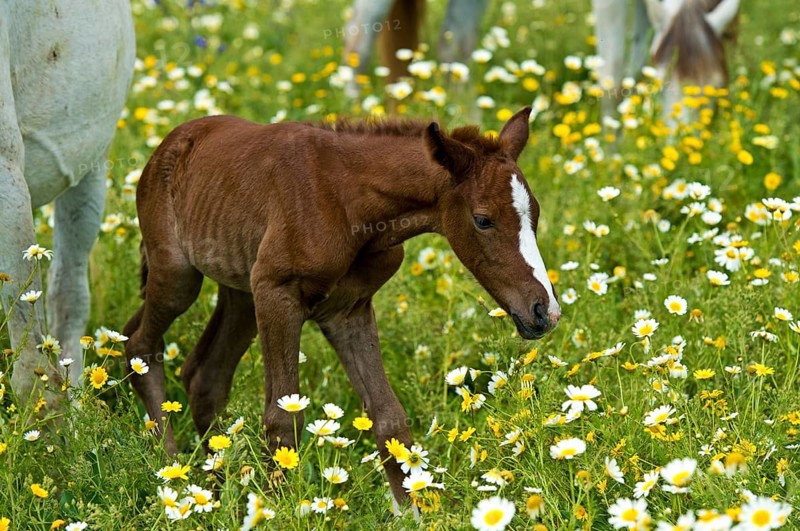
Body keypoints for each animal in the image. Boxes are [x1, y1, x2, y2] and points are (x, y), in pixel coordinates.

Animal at [123, 107, 561, 504]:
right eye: (483, 220)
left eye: (536, 214)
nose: (545, 311)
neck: (349, 202)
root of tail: (170, 143)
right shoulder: (278, 294)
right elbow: (283, 419)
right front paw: (278, 511)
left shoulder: (348, 310)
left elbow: (390, 418)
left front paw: (414, 512)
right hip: (179, 275)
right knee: (139, 344)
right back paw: (172, 473)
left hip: (241, 293)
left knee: (204, 375)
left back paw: (213, 488)